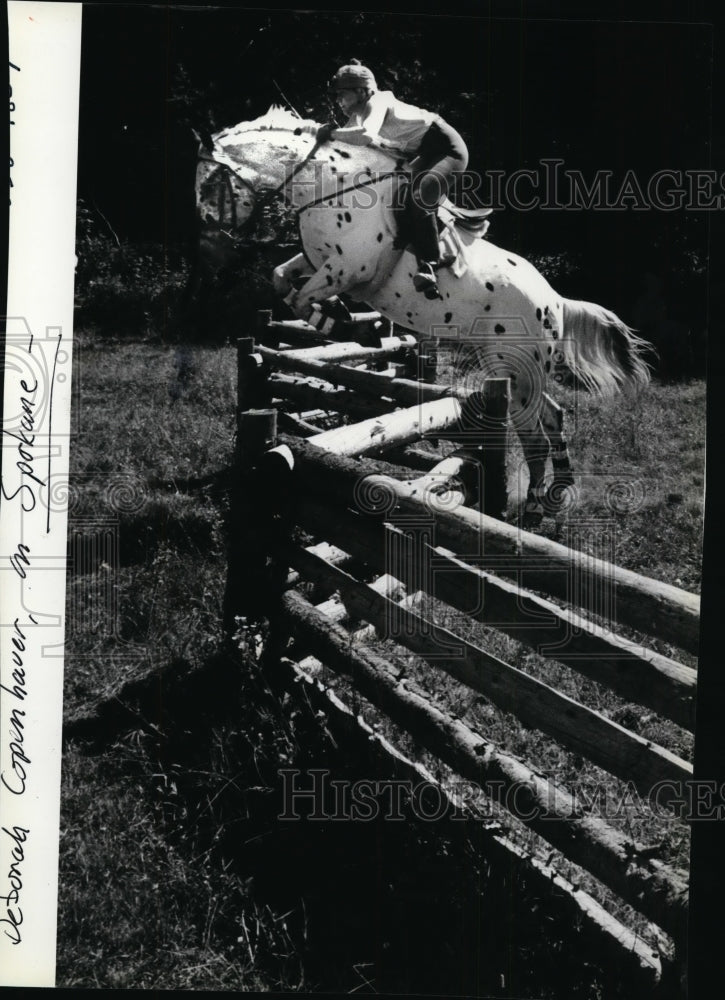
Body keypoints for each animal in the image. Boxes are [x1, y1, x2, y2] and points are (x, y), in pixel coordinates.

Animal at [197, 105, 652, 520]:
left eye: (210, 184)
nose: (211, 250)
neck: (329, 185)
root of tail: (554, 299)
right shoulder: (318, 263)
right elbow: (282, 281)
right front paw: (346, 323)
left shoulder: (347, 269)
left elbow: (300, 298)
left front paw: (344, 324)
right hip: (515, 370)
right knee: (553, 417)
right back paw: (557, 495)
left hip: (516, 369)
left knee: (535, 436)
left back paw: (534, 510)